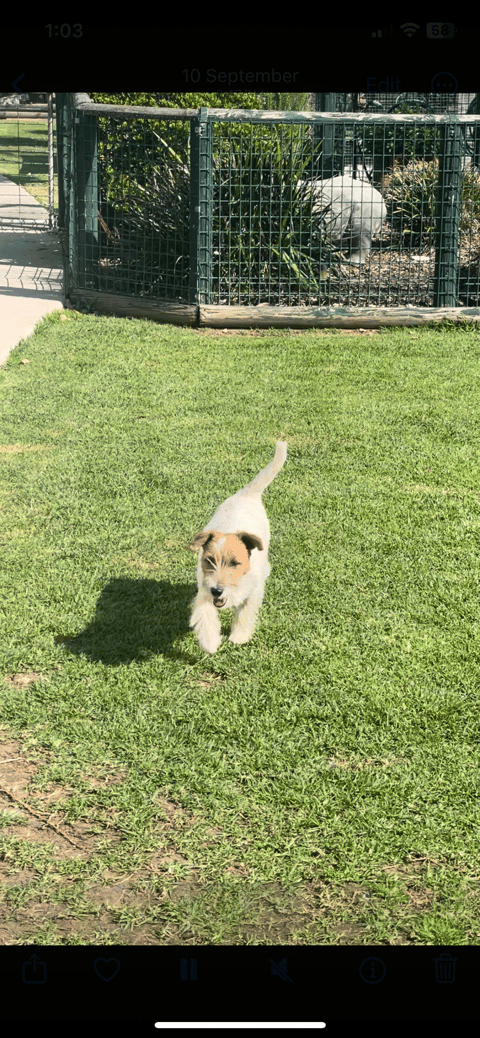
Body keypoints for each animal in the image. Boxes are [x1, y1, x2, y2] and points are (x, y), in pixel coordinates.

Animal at [189, 440, 286, 651]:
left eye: (235, 563)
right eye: (209, 560)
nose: (217, 590)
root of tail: (247, 493)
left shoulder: (254, 591)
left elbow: (245, 612)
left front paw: (238, 636)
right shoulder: (205, 588)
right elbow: (205, 614)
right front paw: (210, 642)